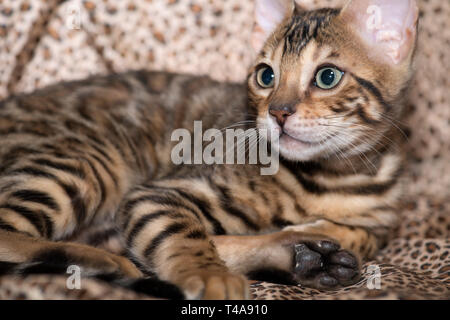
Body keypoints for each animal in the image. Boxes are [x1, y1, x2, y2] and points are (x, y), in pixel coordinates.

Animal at [0, 0, 418, 300]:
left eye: (328, 76)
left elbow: (362, 234)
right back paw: (106, 263)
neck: (332, 176)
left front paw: (317, 237)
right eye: (266, 75)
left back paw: (304, 257)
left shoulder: (380, 222)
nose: (278, 112)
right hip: (86, 162)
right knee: (9, 235)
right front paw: (209, 273)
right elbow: (184, 233)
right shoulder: (154, 193)